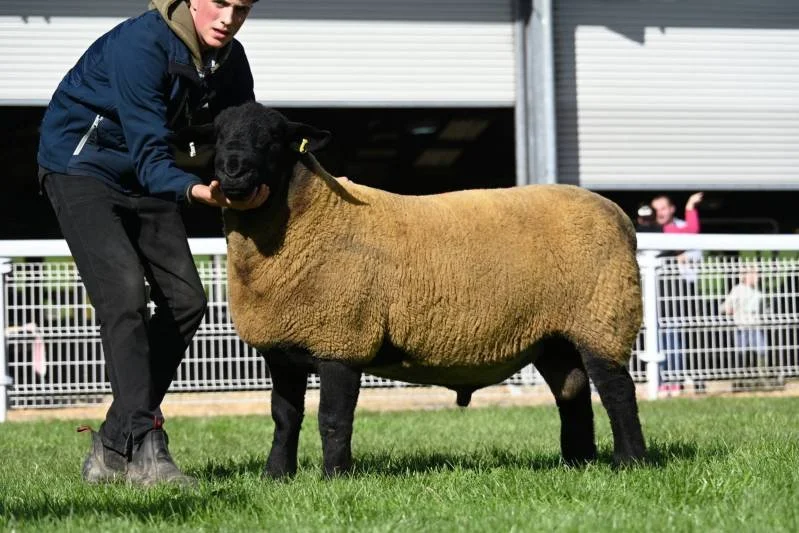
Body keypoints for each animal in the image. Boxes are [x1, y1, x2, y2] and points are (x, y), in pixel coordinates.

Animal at [204, 101, 646, 478]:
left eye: (273, 138)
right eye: (219, 134)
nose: (233, 171)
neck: (312, 215)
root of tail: (618, 214)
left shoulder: (343, 337)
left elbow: (333, 418)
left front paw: (335, 478)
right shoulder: (282, 348)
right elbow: (284, 418)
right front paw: (276, 475)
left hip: (602, 316)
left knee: (618, 392)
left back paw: (630, 462)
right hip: (556, 336)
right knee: (573, 395)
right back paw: (578, 463)